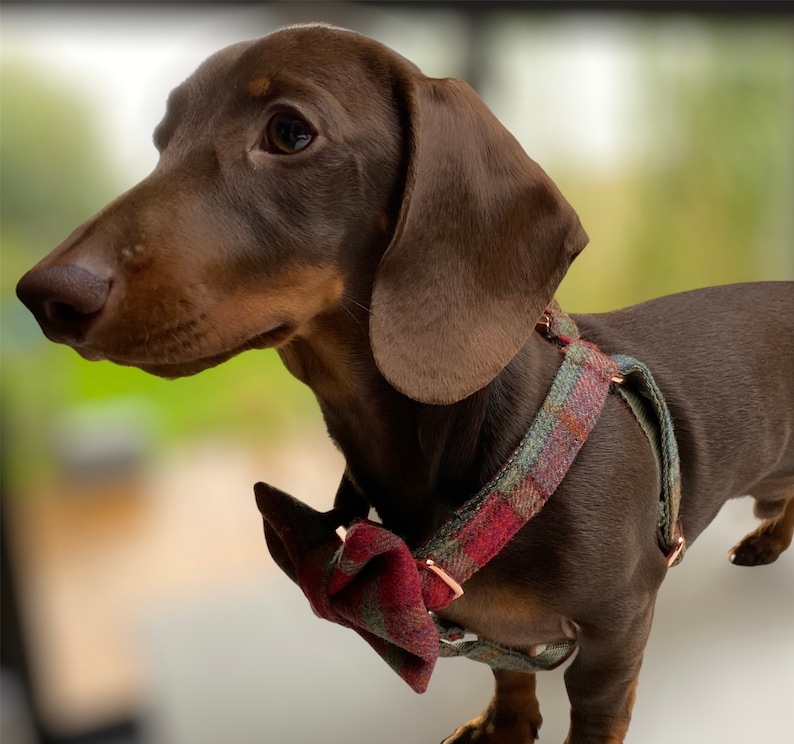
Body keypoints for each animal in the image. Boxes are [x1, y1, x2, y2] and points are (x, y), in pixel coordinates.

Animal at [13, 24, 792, 744]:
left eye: (290, 132)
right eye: (162, 140)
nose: (42, 295)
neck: (487, 442)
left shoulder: (616, 634)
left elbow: (594, 715)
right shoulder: (489, 626)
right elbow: (507, 671)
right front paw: (505, 724)